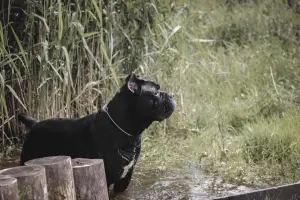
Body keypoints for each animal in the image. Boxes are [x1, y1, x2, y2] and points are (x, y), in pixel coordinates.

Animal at [18, 72, 176, 193]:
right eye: (156, 92)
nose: (171, 94)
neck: (127, 131)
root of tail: (35, 124)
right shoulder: (106, 178)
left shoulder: (124, 180)